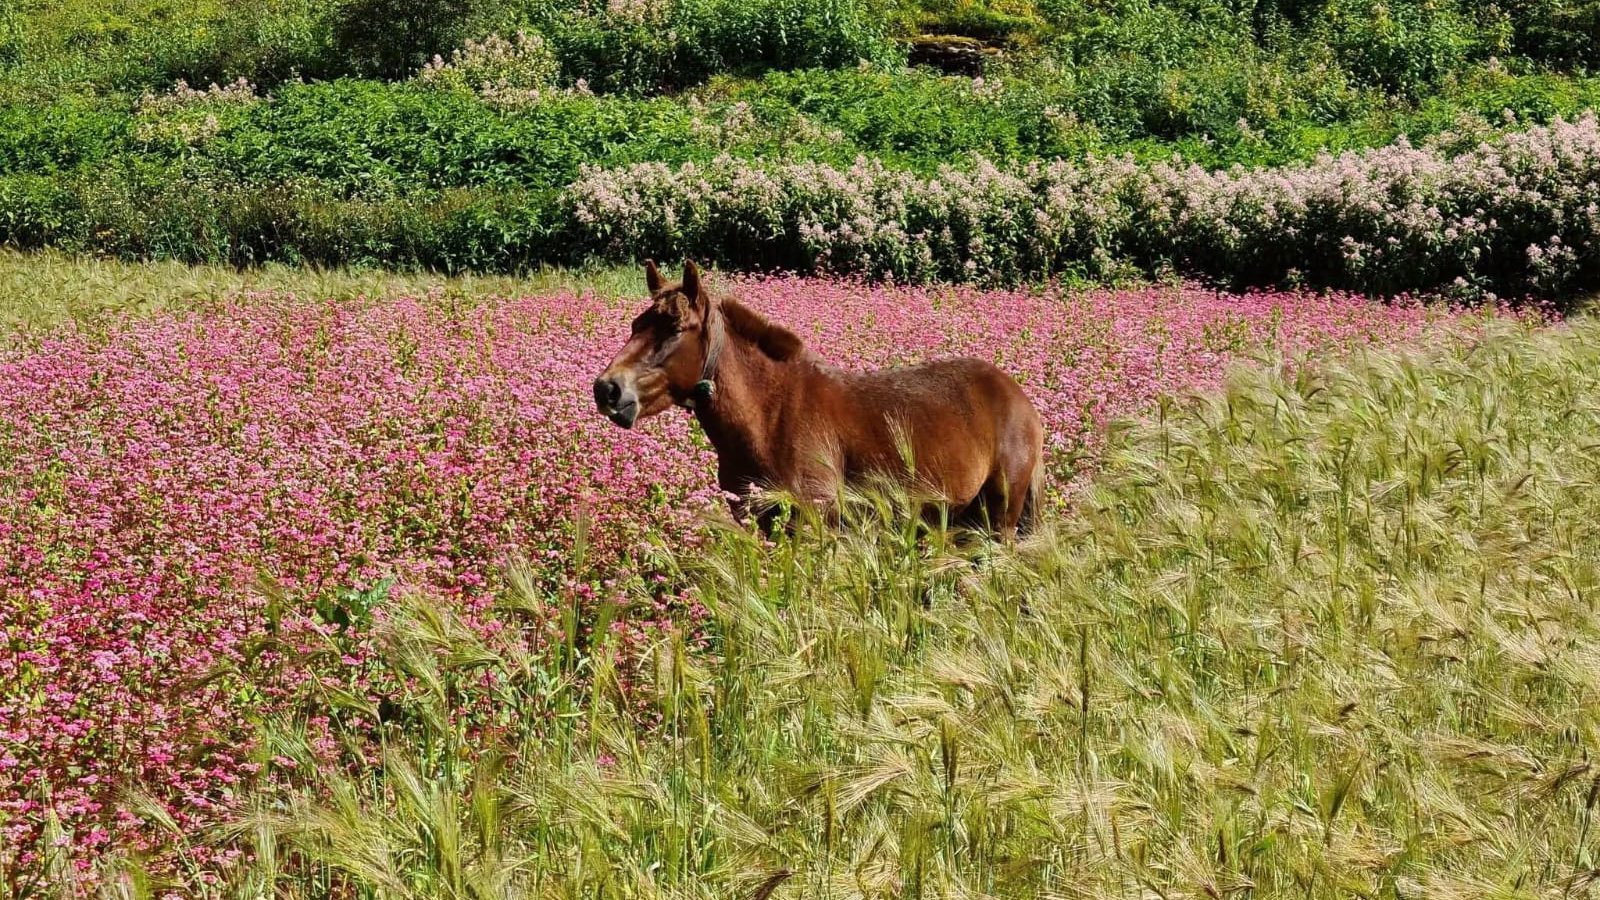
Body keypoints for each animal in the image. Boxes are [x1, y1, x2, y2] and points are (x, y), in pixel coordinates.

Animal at [592, 260, 1046, 540]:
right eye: (635, 325)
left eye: (673, 329)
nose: (608, 389)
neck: (769, 415)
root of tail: (1017, 397)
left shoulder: (815, 522)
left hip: (999, 517)